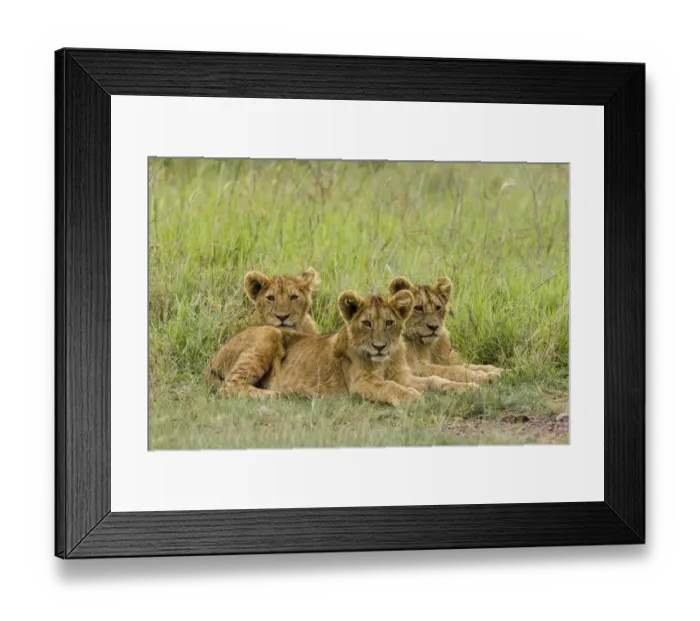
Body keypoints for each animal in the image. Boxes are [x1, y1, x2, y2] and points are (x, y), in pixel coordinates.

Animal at [206, 267, 319, 397]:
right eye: (271, 298)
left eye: (293, 297)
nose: (282, 317)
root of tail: (211, 362)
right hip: (269, 333)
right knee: (230, 386)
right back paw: (280, 394)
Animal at [258, 290, 480, 406]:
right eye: (367, 323)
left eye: (389, 323)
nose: (379, 347)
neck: (385, 360)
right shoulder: (361, 383)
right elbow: (389, 386)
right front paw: (411, 395)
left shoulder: (403, 375)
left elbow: (435, 379)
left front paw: (468, 387)